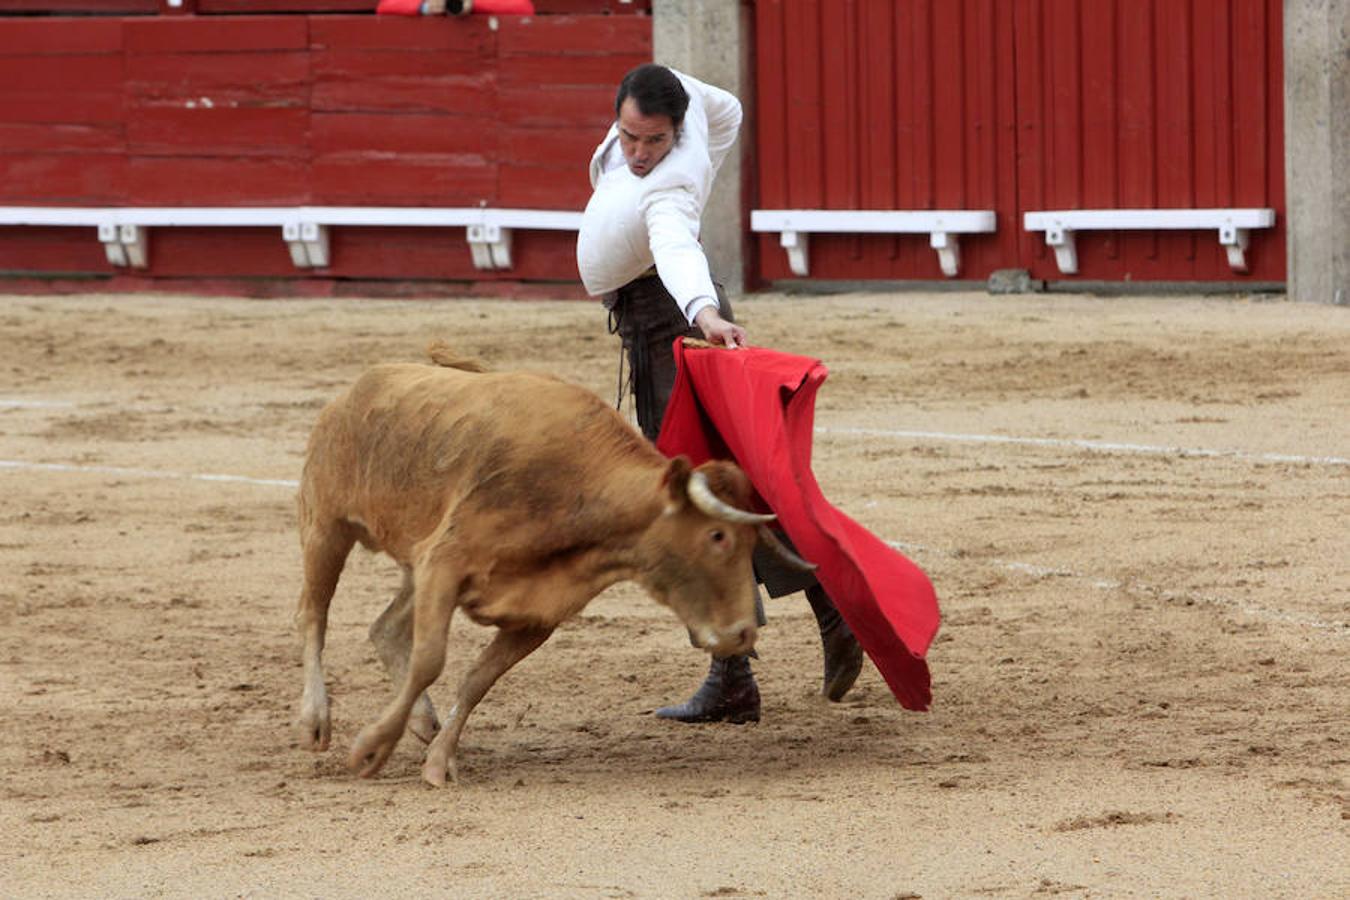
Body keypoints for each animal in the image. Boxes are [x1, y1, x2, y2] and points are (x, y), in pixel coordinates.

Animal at [295, 345, 783, 788]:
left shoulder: (534, 614)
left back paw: (423, 722)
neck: (577, 488)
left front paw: (438, 760)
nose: (743, 632)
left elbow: (477, 679)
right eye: (717, 536)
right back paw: (315, 720)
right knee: (314, 615)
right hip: (326, 528)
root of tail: (351, 394)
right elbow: (430, 660)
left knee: (386, 628)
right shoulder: (444, 563)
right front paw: (370, 749)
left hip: (409, 559)